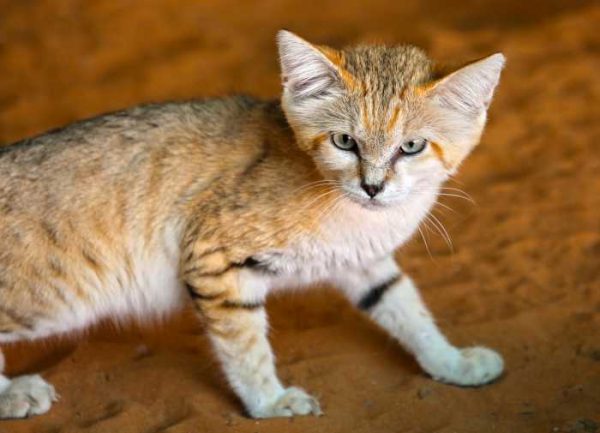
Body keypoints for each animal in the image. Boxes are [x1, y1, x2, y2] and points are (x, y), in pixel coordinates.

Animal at [0, 31, 504, 418]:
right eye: (345, 141)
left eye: (412, 146)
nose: (373, 187)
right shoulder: (213, 259)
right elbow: (245, 346)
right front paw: (271, 402)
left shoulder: (363, 261)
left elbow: (407, 308)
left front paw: (451, 362)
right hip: (51, 300)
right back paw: (14, 394)